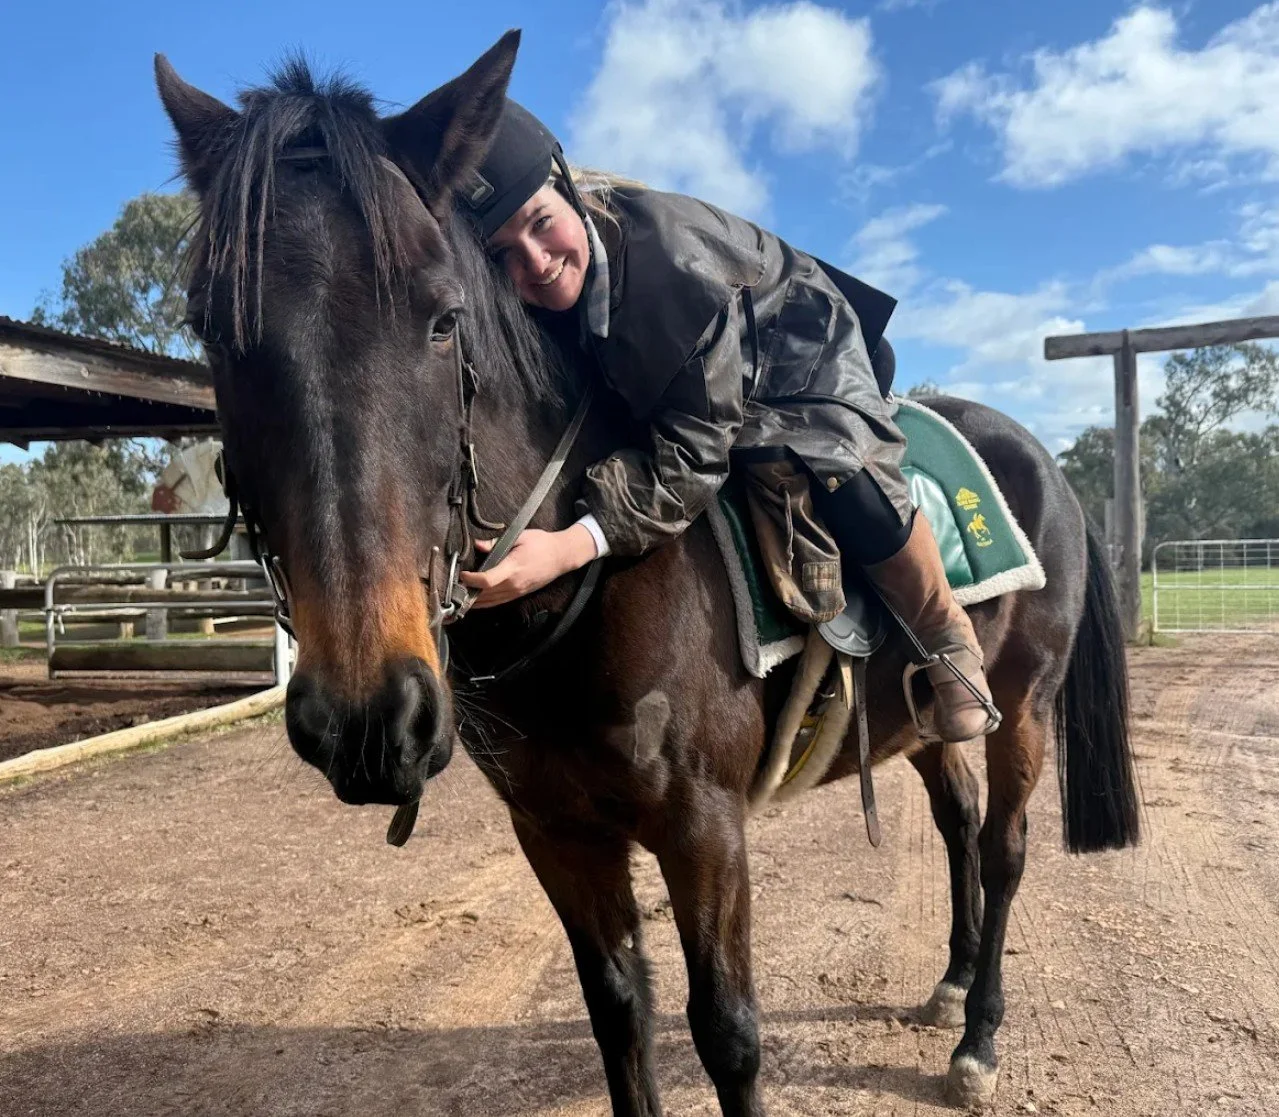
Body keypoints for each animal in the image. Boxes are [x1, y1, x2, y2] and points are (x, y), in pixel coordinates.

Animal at [155, 31, 1139, 1115]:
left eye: (442, 318)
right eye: (215, 331)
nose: (370, 716)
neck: (591, 600)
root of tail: (1041, 457)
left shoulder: (702, 826)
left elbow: (727, 1033)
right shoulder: (556, 831)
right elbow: (618, 1010)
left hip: (1025, 701)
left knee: (1002, 847)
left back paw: (980, 1034)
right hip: (919, 720)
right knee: (957, 820)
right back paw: (953, 980)